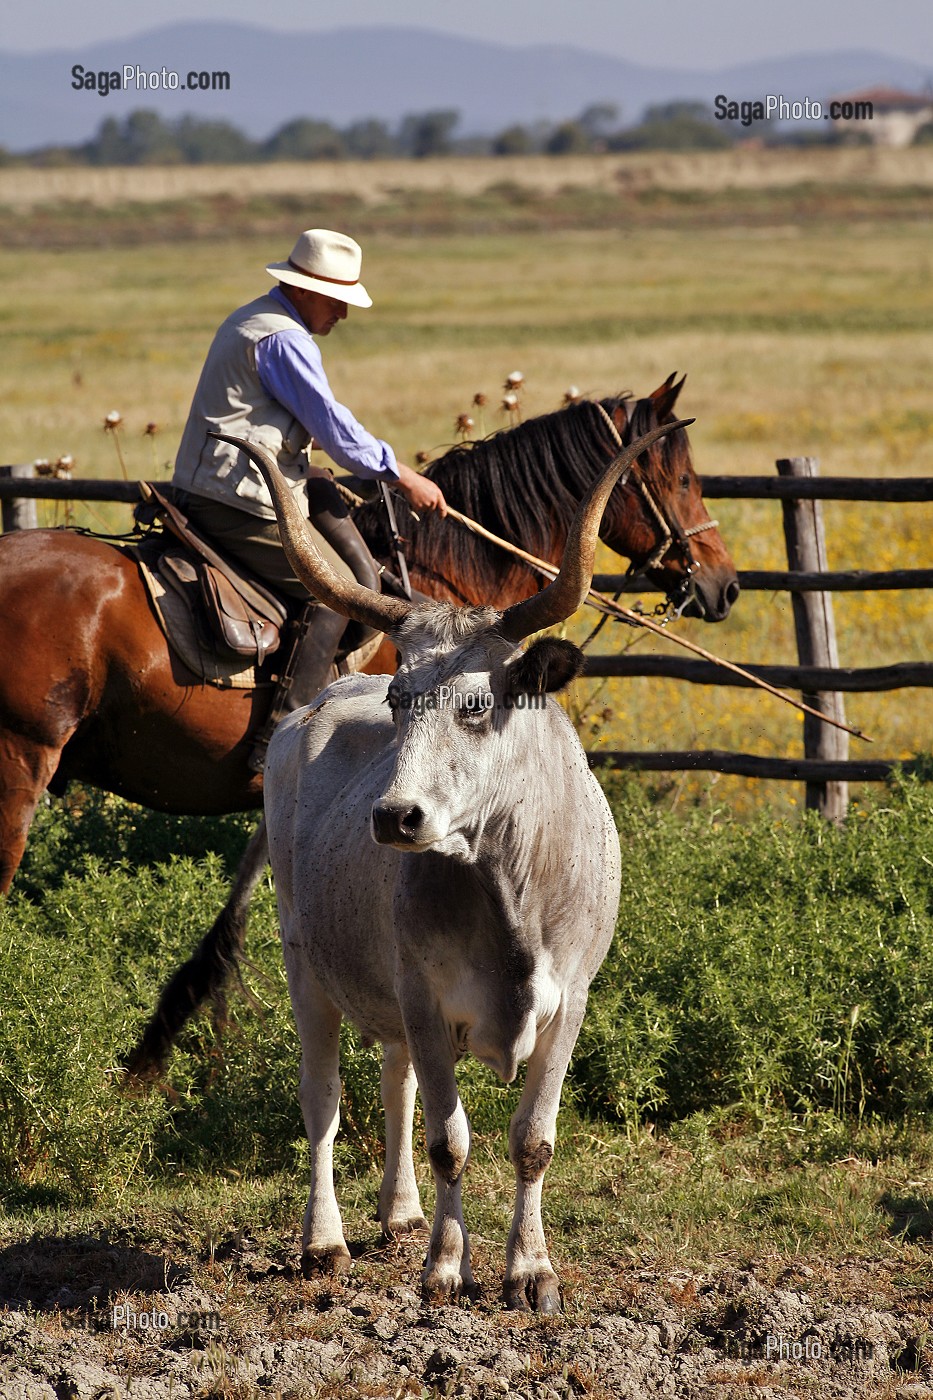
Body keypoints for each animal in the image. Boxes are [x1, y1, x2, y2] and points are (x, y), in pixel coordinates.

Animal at [222, 417, 680, 1310]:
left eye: (474, 703)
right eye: (400, 699)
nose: (394, 817)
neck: (509, 891)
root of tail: (310, 708)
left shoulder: (570, 1001)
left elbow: (531, 1139)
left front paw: (528, 1271)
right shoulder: (429, 1003)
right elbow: (450, 1141)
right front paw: (444, 1267)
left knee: (392, 1079)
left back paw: (398, 1212)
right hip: (305, 962)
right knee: (324, 1099)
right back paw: (324, 1241)